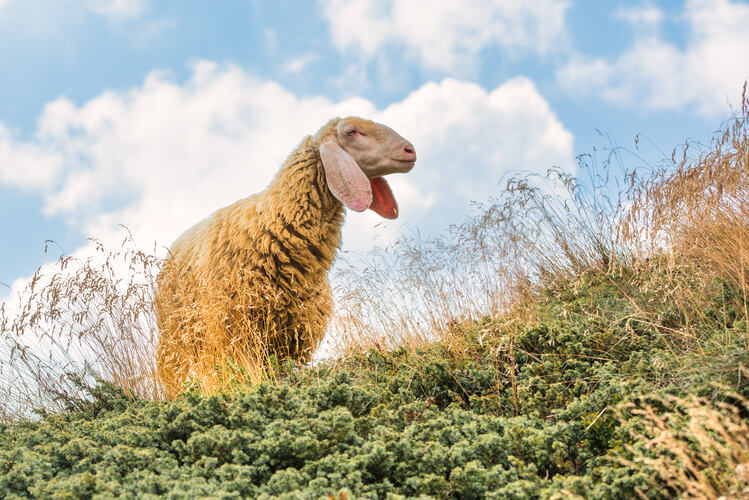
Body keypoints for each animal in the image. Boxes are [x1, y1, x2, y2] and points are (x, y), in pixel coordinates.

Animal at [155, 117, 416, 396]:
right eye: (351, 131)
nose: (410, 150)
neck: (272, 225)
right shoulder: (237, 335)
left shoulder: (292, 340)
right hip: (178, 343)